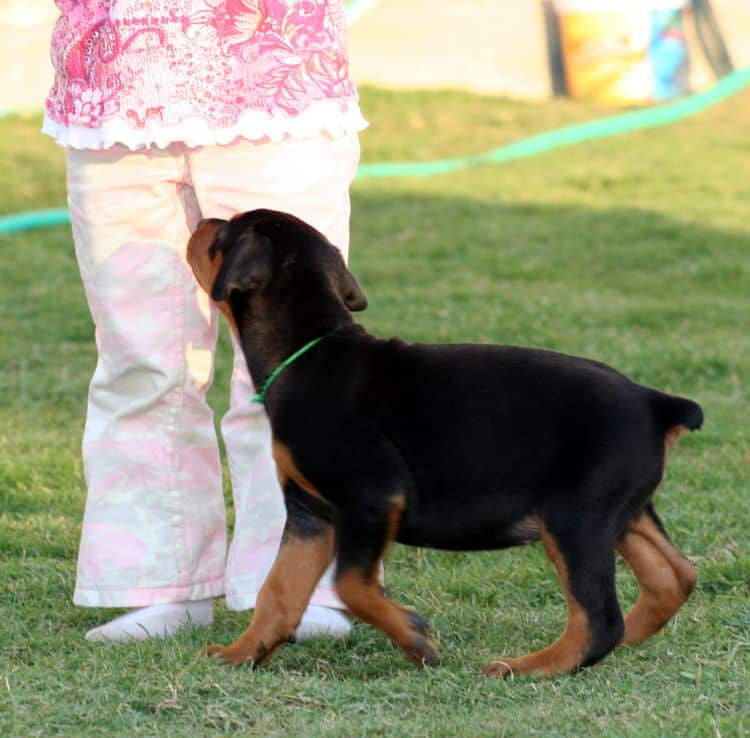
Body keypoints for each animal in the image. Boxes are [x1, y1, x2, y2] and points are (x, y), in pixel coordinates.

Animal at [189, 206, 704, 672]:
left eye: (224, 233)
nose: (201, 221)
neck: (308, 351)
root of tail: (655, 402)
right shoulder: (311, 514)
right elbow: (278, 589)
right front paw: (241, 653)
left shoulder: (372, 498)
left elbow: (351, 585)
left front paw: (414, 638)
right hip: (623, 511)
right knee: (674, 576)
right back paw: (628, 637)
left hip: (575, 517)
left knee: (598, 618)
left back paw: (529, 666)